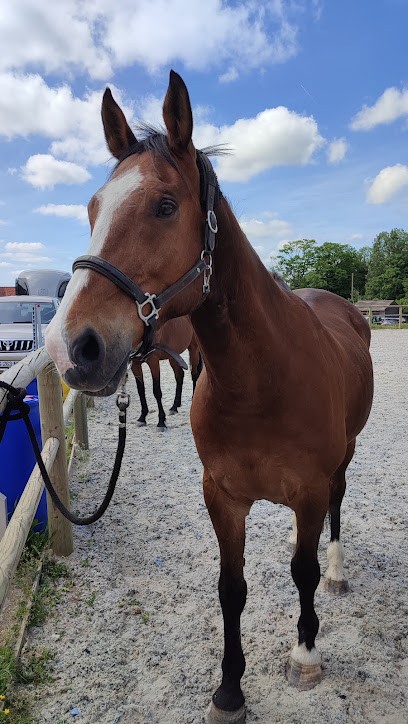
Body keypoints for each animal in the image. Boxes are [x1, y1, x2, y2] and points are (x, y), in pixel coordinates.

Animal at [45, 70, 374, 723]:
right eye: (92, 207)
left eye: (166, 206)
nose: (75, 347)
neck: (261, 383)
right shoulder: (222, 496)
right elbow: (231, 588)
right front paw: (229, 689)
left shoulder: (308, 491)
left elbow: (300, 571)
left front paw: (305, 655)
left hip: (343, 461)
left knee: (337, 512)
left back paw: (337, 571)